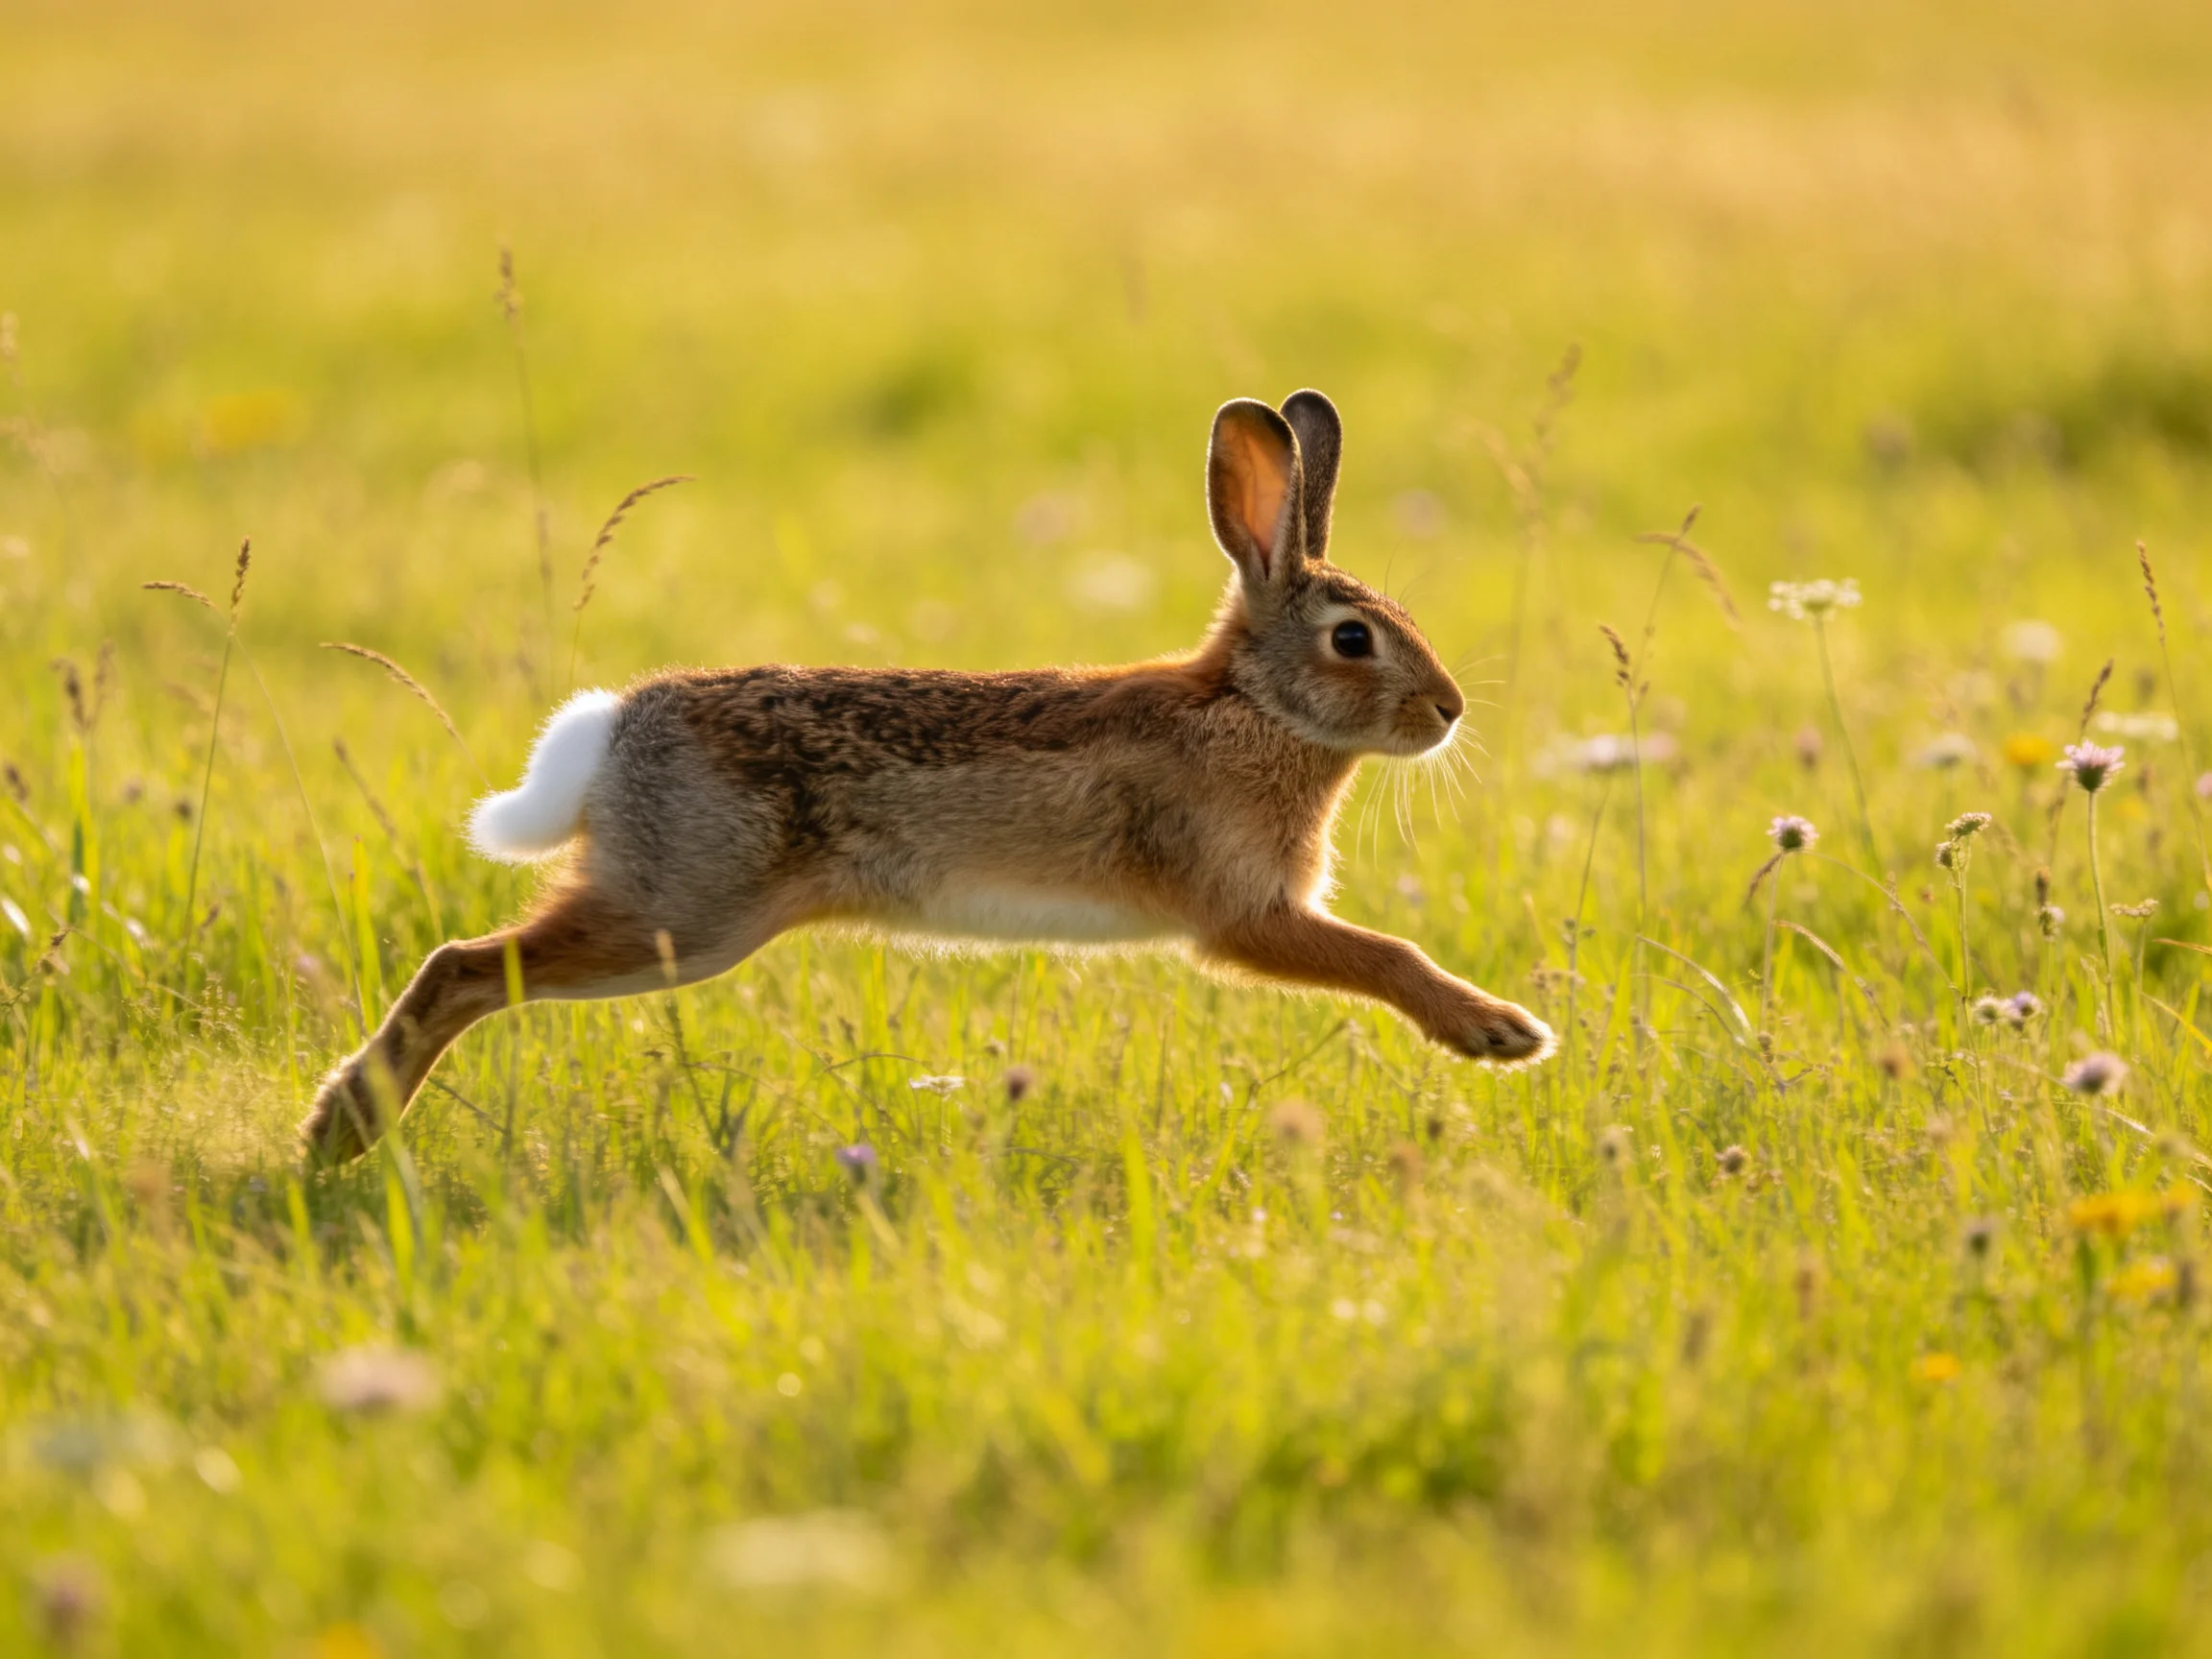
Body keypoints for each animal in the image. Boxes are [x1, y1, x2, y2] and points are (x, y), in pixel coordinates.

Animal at [301, 389, 1554, 1160]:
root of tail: (618, 728)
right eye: (1353, 639)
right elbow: (1385, 955)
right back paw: (340, 1135)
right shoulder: (1241, 912)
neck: (1251, 708)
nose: (1447, 712)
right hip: (683, 914)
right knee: (464, 966)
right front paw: (1501, 1034)